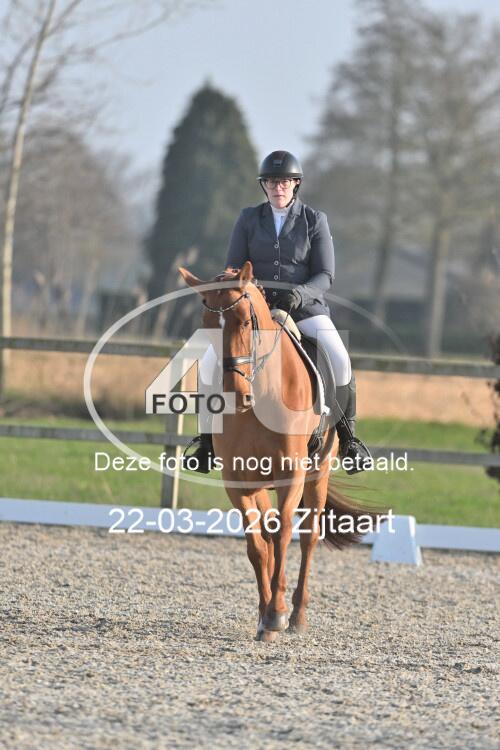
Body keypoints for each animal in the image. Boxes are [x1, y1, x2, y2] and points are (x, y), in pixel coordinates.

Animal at [179, 261, 380, 642]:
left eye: (245, 321)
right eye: (207, 323)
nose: (233, 393)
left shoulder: (292, 476)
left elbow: (286, 534)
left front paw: (277, 614)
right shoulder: (237, 480)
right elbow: (256, 545)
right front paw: (267, 616)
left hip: (318, 473)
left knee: (308, 536)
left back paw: (297, 614)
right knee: (269, 532)